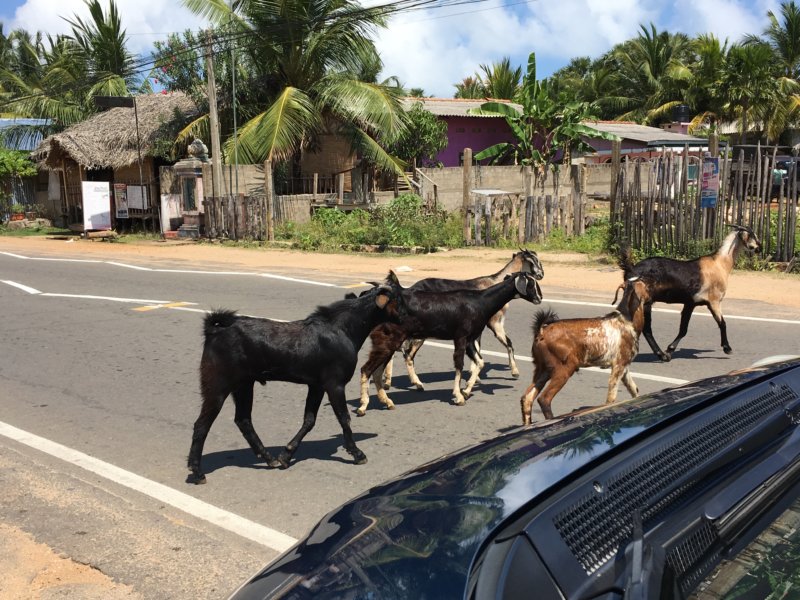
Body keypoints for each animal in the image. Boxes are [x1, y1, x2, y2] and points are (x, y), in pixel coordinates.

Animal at [187, 283, 403, 483]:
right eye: (399, 298)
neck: (342, 329)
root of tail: (214, 330)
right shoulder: (335, 384)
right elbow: (344, 418)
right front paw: (357, 453)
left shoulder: (317, 386)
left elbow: (309, 420)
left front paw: (286, 455)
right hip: (217, 385)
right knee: (202, 425)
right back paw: (196, 471)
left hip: (244, 385)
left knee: (243, 420)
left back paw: (269, 458)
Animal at [356, 271, 543, 416]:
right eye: (531, 284)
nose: (539, 298)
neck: (480, 302)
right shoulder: (461, 337)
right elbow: (459, 364)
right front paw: (459, 396)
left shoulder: (470, 339)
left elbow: (480, 362)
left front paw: (466, 390)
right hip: (387, 340)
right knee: (366, 369)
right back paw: (363, 407)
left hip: (387, 343)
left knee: (377, 371)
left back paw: (388, 401)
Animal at [520, 277, 649, 424]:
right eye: (646, 286)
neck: (626, 320)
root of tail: (541, 332)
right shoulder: (619, 365)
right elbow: (611, 397)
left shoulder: (624, 366)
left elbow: (634, 389)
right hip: (564, 368)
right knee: (544, 399)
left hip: (543, 369)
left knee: (527, 397)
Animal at [617, 225, 761, 361]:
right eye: (752, 235)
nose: (759, 248)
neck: (720, 264)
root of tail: (632, 269)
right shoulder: (714, 301)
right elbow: (722, 323)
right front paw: (727, 348)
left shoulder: (690, 303)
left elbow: (683, 329)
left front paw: (670, 349)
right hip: (643, 301)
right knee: (646, 328)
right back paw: (661, 355)